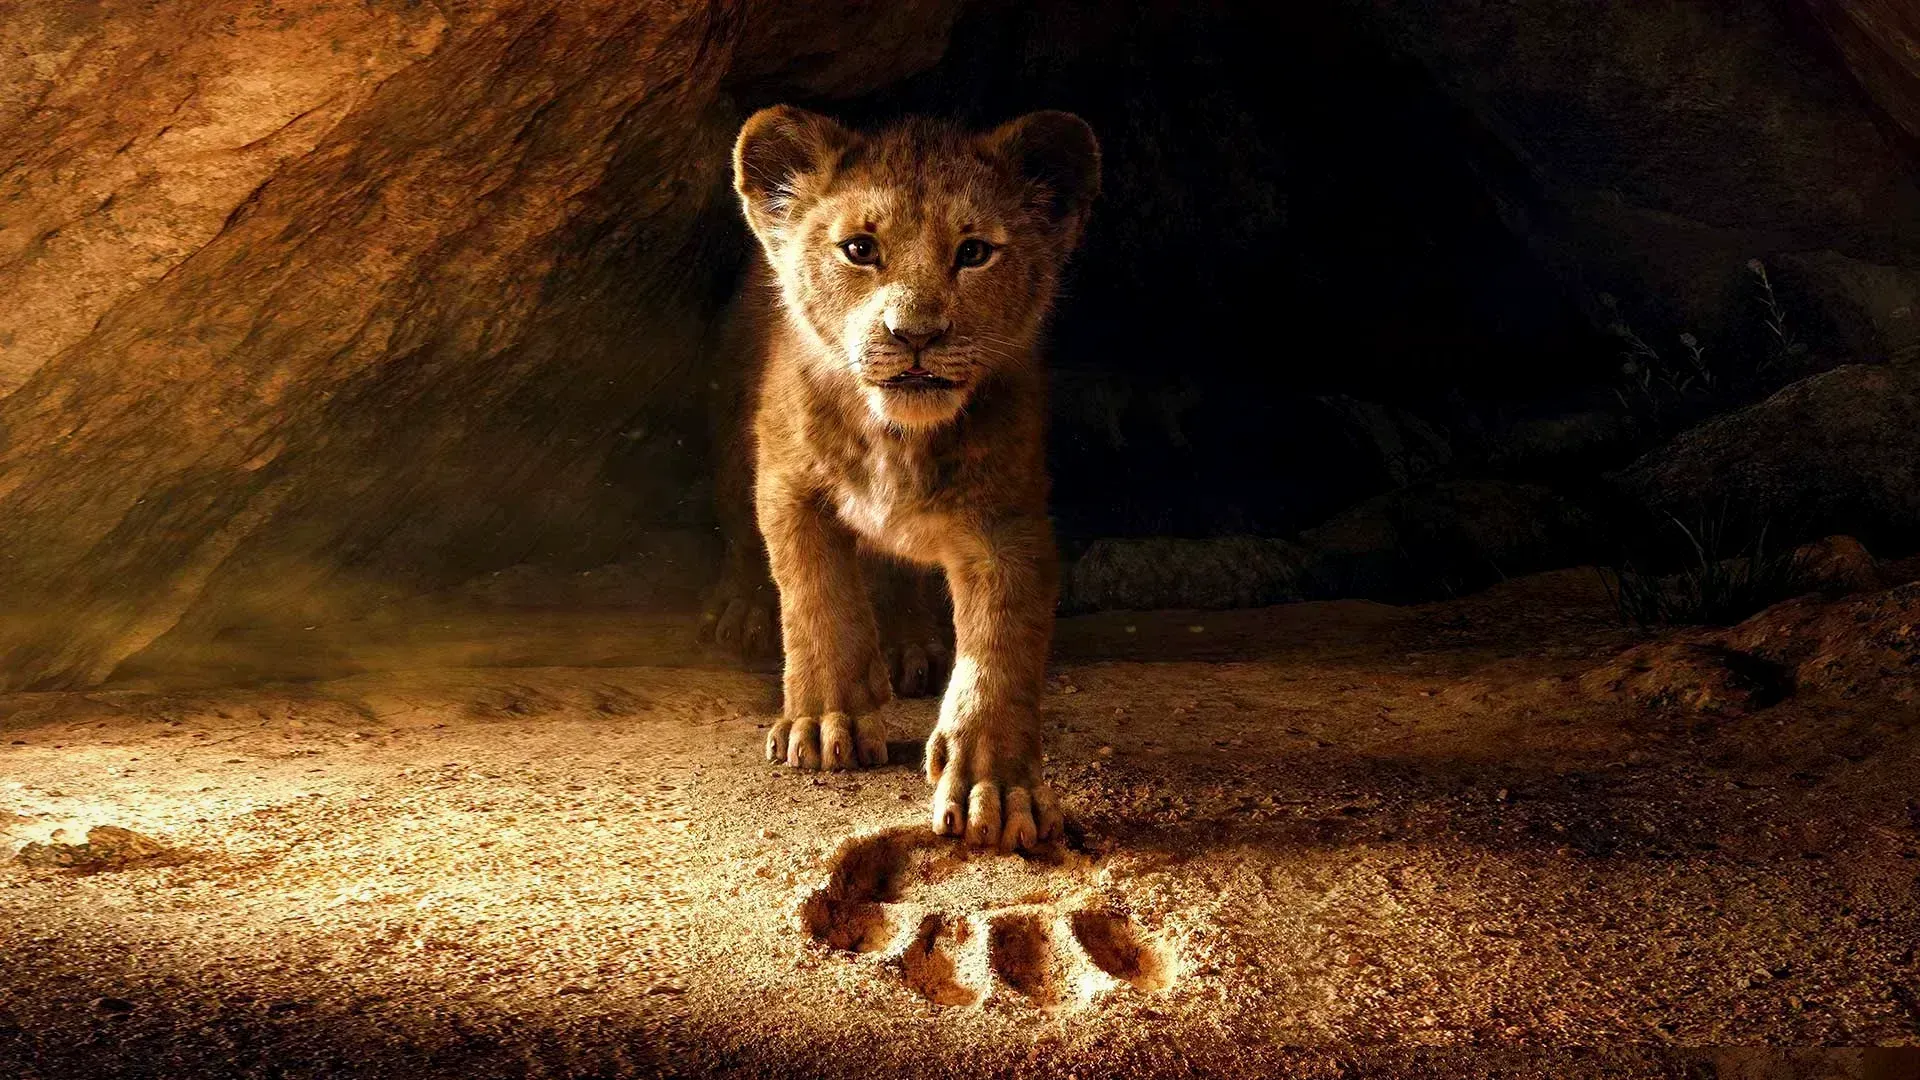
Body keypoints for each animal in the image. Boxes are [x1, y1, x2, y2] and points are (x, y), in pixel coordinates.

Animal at [710, 105, 1100, 852]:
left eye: (974, 253)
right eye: (860, 249)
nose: (915, 334)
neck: (897, 436)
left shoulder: (1007, 523)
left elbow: (1001, 650)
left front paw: (995, 788)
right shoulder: (789, 486)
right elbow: (817, 599)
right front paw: (825, 723)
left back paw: (909, 644)